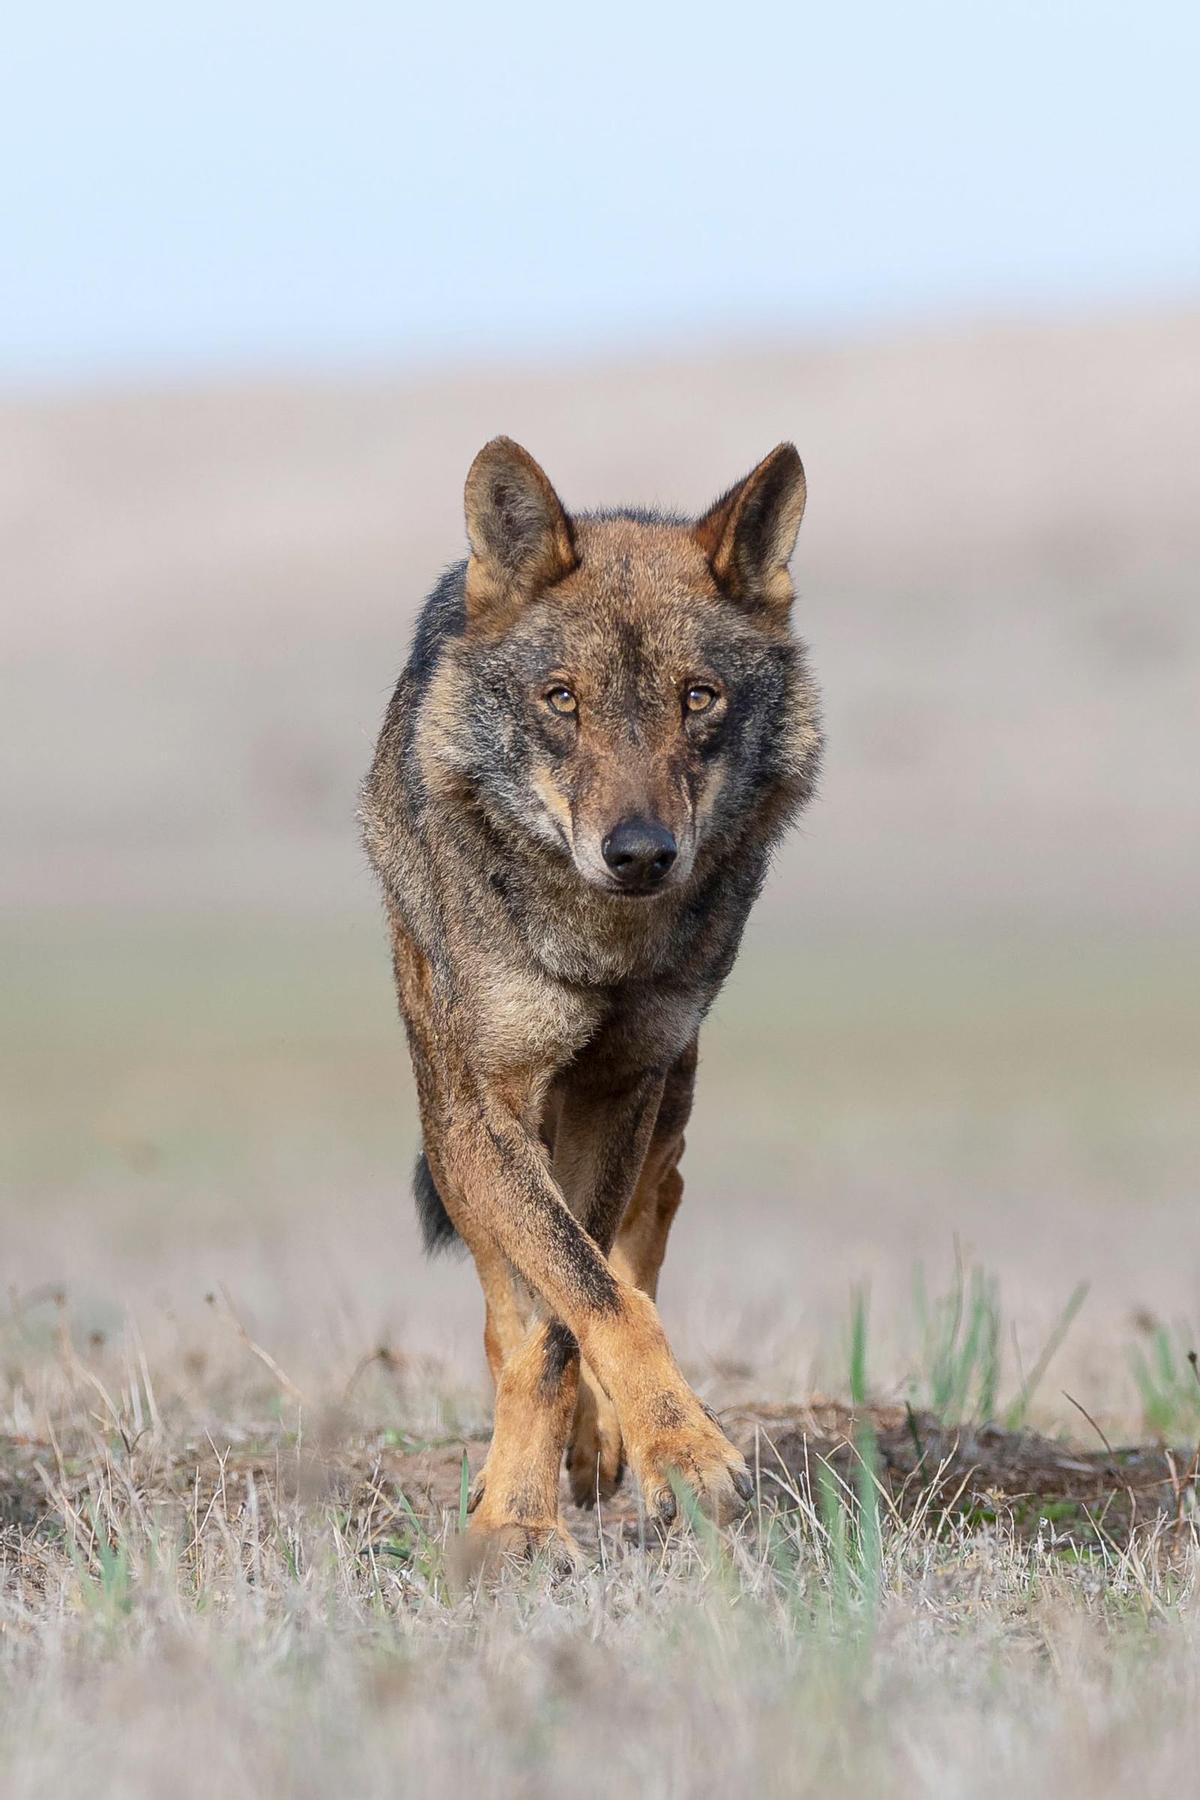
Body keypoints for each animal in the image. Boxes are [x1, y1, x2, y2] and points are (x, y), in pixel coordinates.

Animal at [361, 437, 821, 1566]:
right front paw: (517, 1517)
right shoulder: (487, 1111)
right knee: (510, 1299)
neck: (599, 948)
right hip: (450, 1112)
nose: (641, 854)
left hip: (673, 1093)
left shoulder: (623, 1085)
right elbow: (558, 1300)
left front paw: (650, 1450)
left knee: (649, 1229)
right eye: (562, 698)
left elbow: (591, 1302)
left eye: (699, 698)